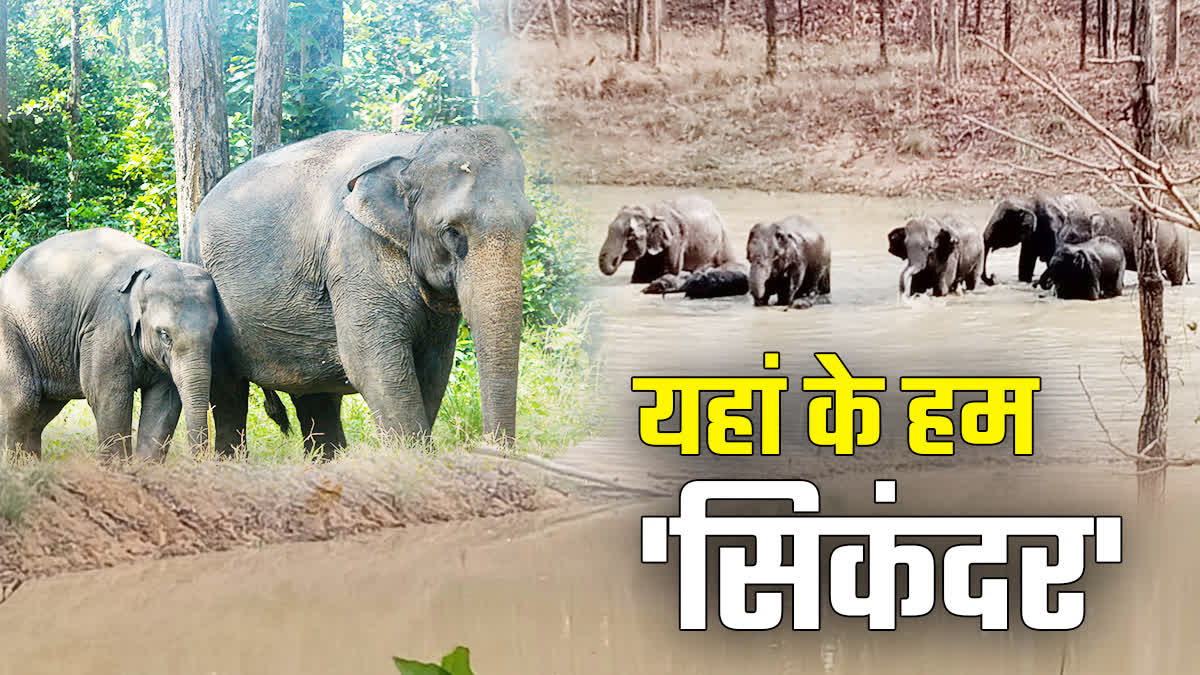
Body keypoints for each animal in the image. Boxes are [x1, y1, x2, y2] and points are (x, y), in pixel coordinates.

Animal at [0, 228, 217, 460]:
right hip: (9, 330)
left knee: (42, 411)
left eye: (214, 332)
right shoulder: (105, 326)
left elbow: (164, 401)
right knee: (21, 402)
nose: (199, 462)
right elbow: (109, 395)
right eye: (165, 335)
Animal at [183, 126, 535, 459]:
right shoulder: (354, 249)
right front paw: (413, 461)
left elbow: (434, 366)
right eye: (452, 231)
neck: (414, 148)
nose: (491, 451)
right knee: (228, 390)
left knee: (315, 396)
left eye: (529, 226)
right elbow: (372, 362)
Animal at [597, 195, 741, 285]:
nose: (616, 259)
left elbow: (671, 270)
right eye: (609, 228)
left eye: (631, 235)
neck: (650, 209)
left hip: (723, 238)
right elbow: (640, 275)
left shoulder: (676, 237)